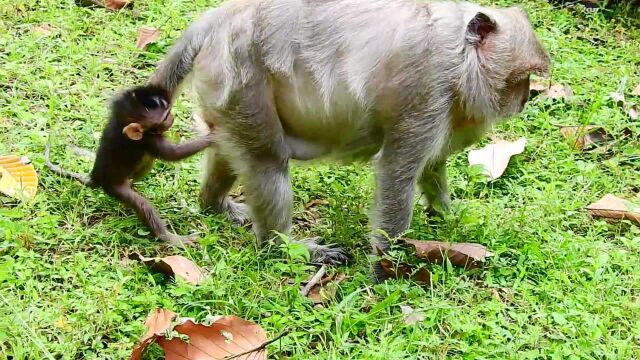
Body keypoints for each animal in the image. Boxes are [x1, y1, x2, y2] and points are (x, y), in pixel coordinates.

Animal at [45, 86, 215, 246]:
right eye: (165, 116)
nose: (172, 117)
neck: (120, 122)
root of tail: (96, 177)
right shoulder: (148, 140)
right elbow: (172, 154)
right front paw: (211, 137)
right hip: (113, 187)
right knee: (142, 205)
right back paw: (168, 237)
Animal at [146, 0, 552, 278]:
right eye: (523, 77)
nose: (525, 97)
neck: (458, 51)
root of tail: (219, 18)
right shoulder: (428, 87)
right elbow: (397, 172)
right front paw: (387, 270)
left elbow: (432, 165)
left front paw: (445, 217)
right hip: (240, 79)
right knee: (267, 160)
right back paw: (282, 247)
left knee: (230, 148)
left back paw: (214, 204)